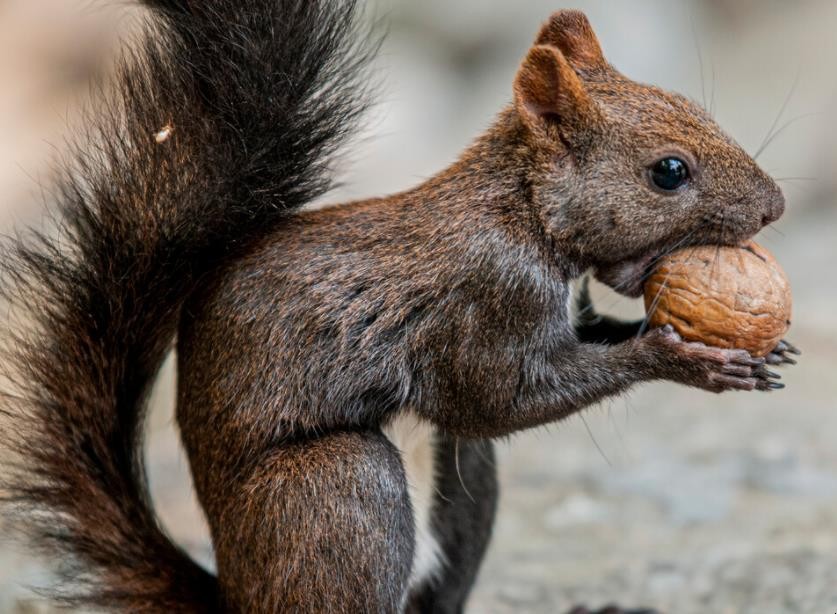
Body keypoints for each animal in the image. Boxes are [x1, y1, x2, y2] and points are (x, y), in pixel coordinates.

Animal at [0, 1, 796, 614]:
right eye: (668, 171)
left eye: (697, 108)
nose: (775, 205)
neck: (520, 212)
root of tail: (234, 596)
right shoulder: (484, 299)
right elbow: (498, 399)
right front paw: (682, 357)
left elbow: (593, 332)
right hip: (342, 490)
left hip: (464, 489)